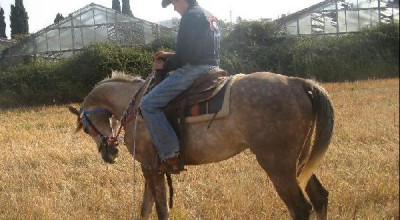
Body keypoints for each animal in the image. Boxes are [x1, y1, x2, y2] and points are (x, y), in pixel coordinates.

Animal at [69, 71, 334, 220]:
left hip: (277, 164)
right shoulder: (152, 168)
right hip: (299, 161)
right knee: (320, 197)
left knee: (301, 208)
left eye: (86, 128)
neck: (136, 105)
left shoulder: (150, 167)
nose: (109, 153)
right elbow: (146, 208)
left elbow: (160, 210)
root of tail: (297, 83)